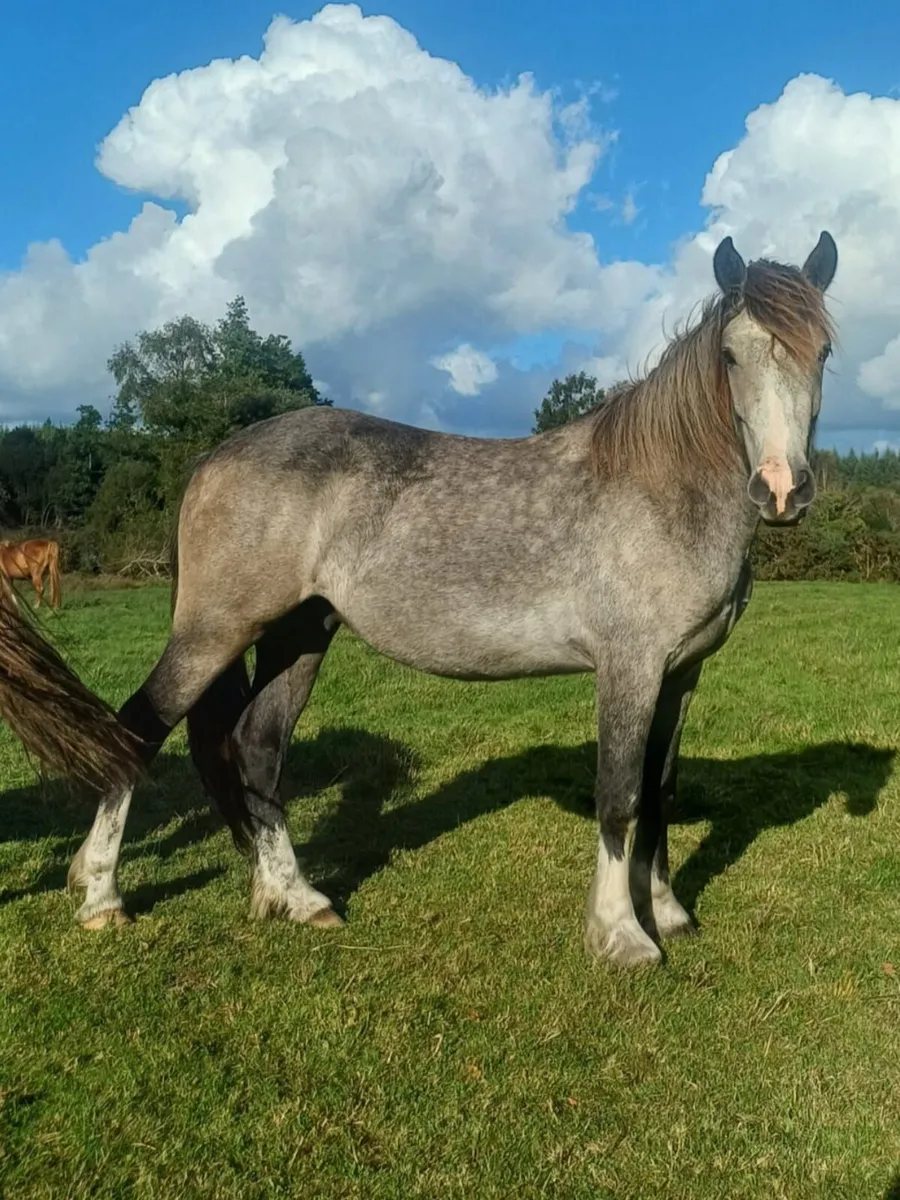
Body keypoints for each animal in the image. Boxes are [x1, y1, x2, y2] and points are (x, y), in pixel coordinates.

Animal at [68, 231, 838, 968]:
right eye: (732, 356)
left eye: (823, 352)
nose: (781, 489)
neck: (661, 491)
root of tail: (215, 457)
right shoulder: (630, 668)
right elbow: (620, 796)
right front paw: (622, 935)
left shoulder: (681, 674)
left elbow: (660, 792)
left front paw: (670, 913)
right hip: (214, 631)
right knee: (137, 731)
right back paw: (102, 897)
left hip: (299, 633)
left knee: (257, 748)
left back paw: (296, 896)